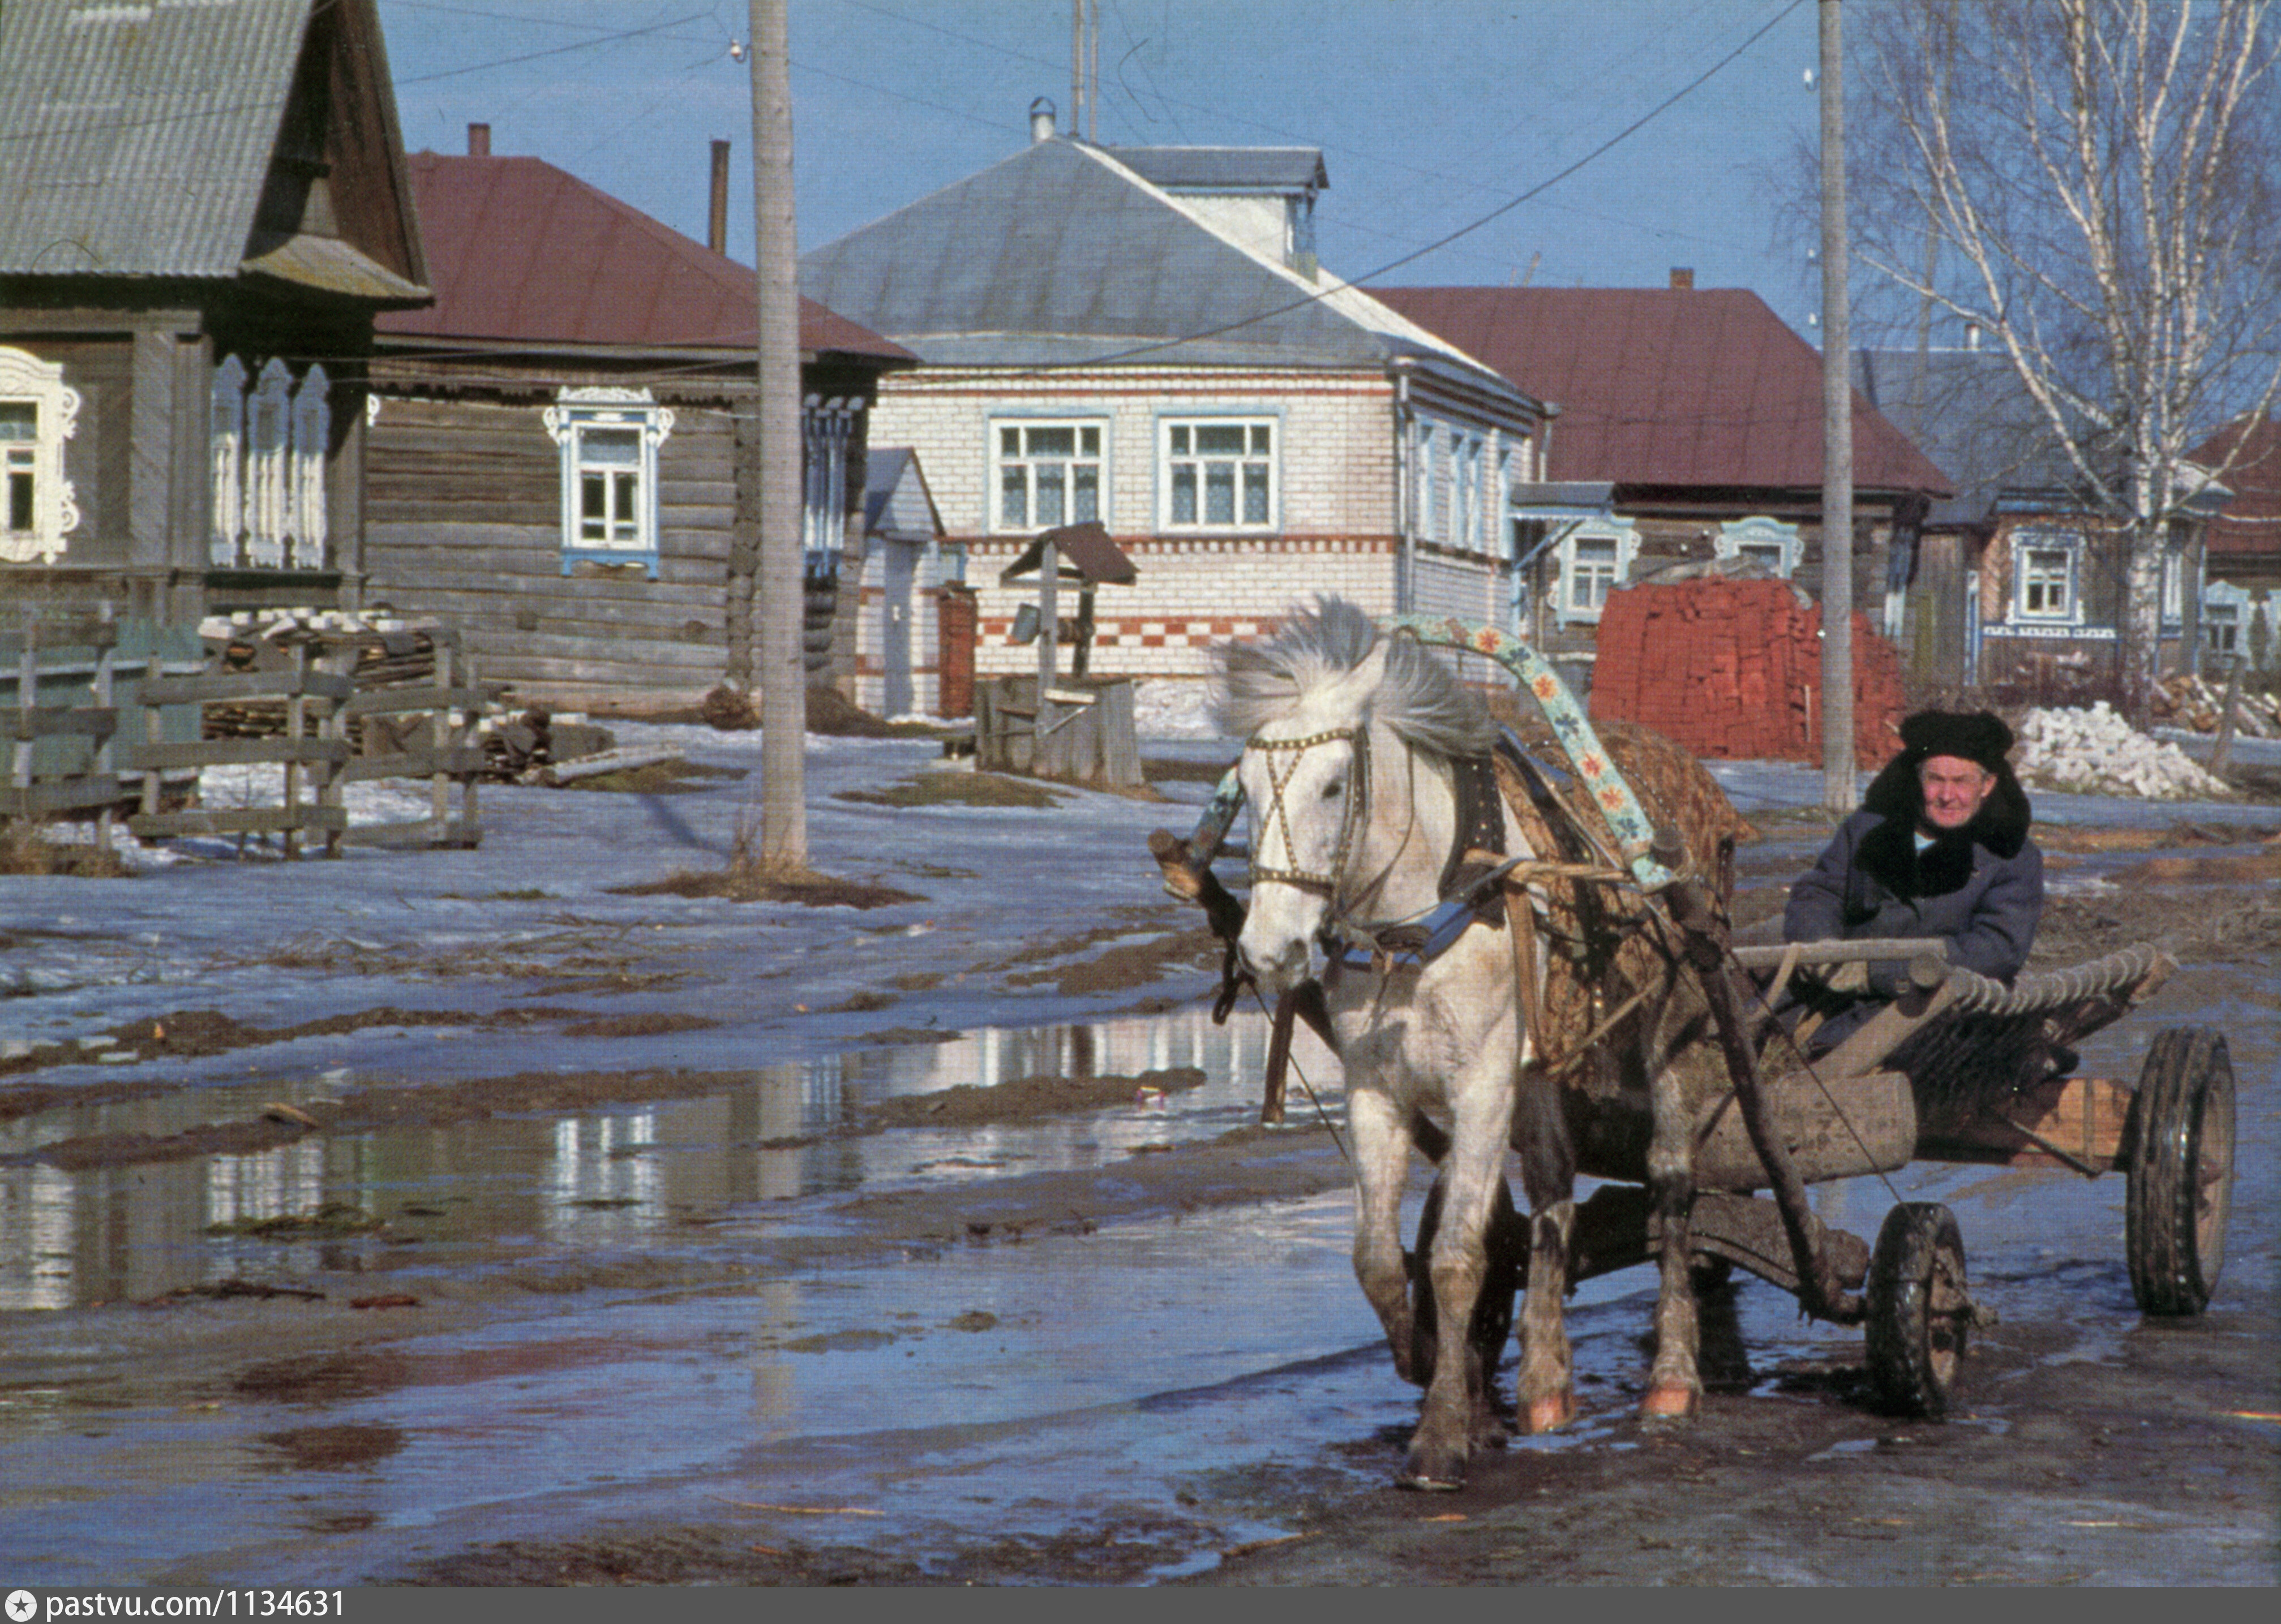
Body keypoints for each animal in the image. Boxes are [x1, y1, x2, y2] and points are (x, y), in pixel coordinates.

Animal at [1232, 598, 1697, 1487]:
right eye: (1240, 787)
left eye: (1333, 784)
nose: (1268, 950)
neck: (1415, 927)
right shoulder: (1375, 1090)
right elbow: (1377, 1257)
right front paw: (1426, 1363)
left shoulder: (1481, 1087)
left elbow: (1454, 1255)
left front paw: (1443, 1431)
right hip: (1541, 1066)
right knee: (1552, 1187)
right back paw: (1545, 1381)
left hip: (1665, 1029)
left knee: (1670, 1177)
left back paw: (1672, 1372)